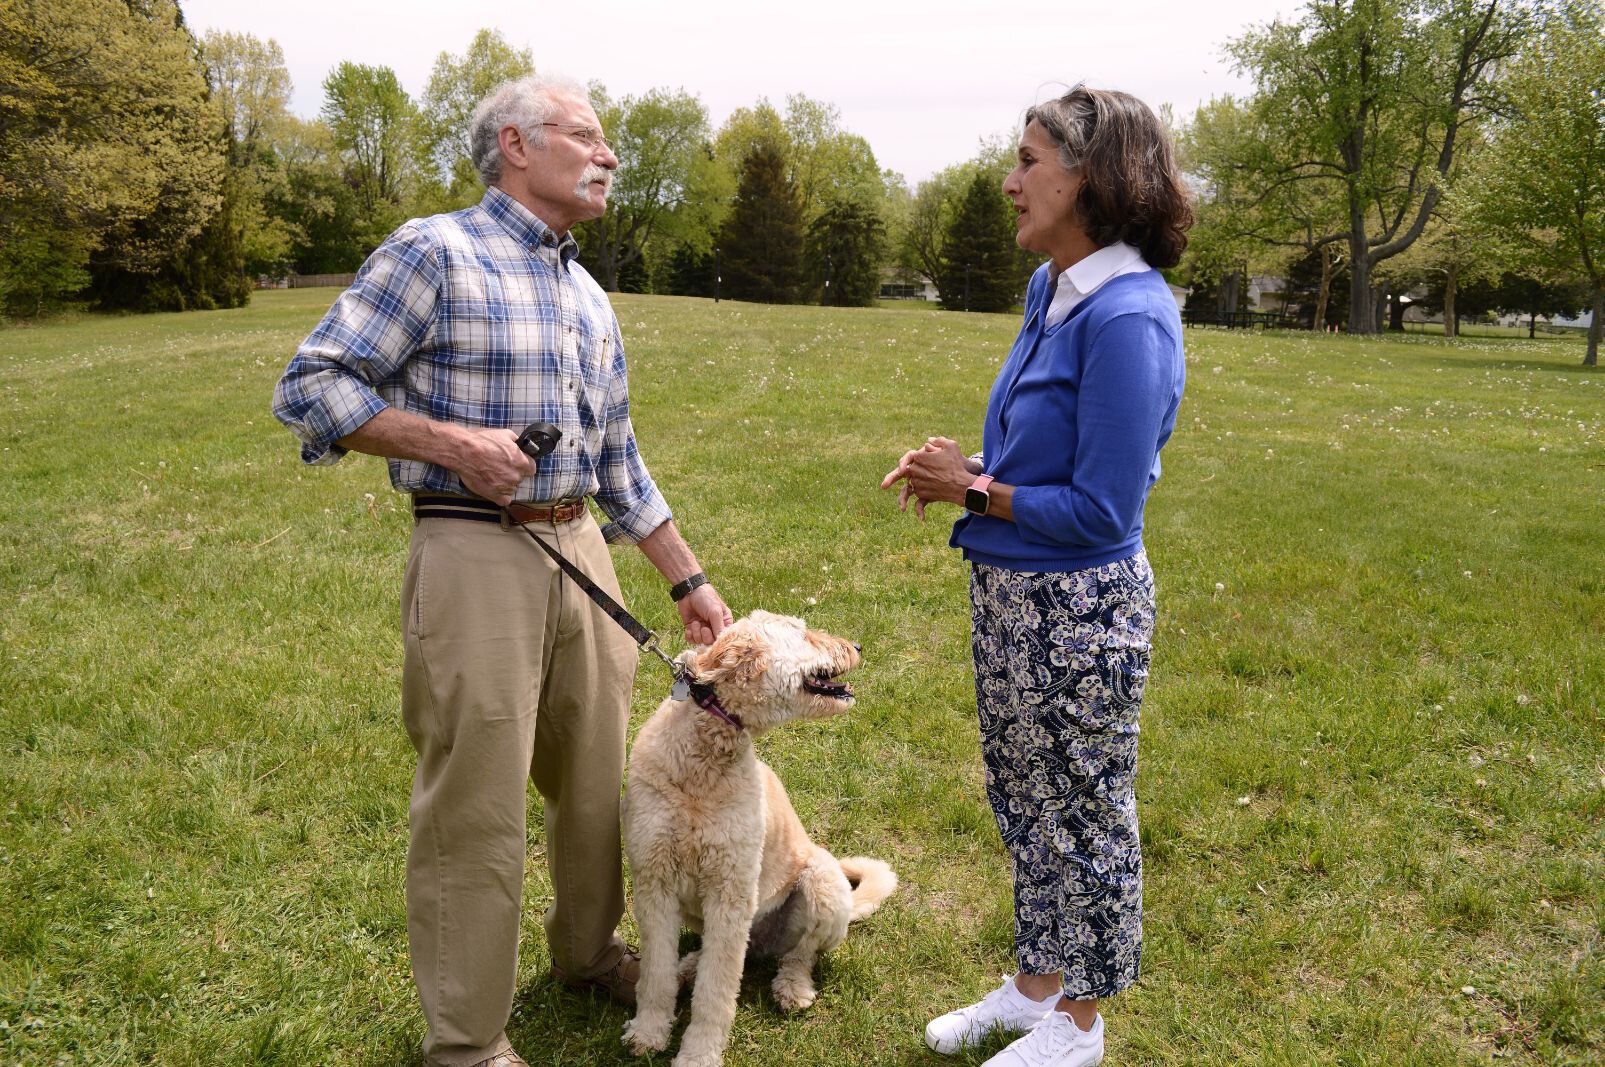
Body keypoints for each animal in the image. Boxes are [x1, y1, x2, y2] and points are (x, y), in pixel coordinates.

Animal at [622, 612, 898, 1058]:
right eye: (803, 633)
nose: (857, 646)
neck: (704, 758)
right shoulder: (654, 882)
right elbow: (656, 973)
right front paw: (648, 1032)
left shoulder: (730, 892)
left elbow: (716, 994)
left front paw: (697, 1055)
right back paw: (690, 965)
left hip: (822, 882)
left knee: (800, 955)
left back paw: (792, 988)